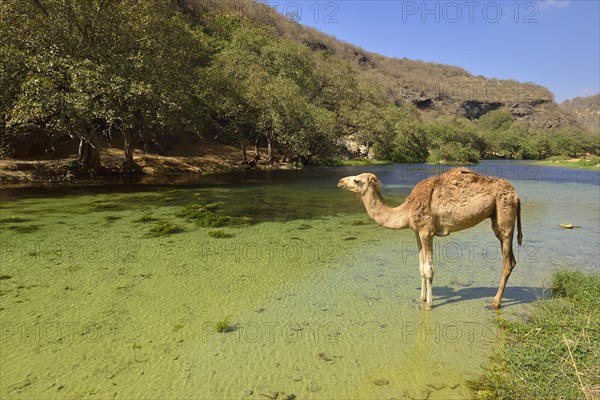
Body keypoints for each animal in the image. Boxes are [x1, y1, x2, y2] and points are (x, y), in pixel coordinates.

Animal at [340, 167, 524, 310]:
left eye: (357, 180)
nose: (340, 182)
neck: (407, 209)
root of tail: (516, 194)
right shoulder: (417, 232)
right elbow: (421, 268)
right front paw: (421, 298)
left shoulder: (427, 231)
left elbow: (429, 269)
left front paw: (428, 304)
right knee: (511, 260)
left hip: (504, 216)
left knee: (508, 261)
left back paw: (495, 302)